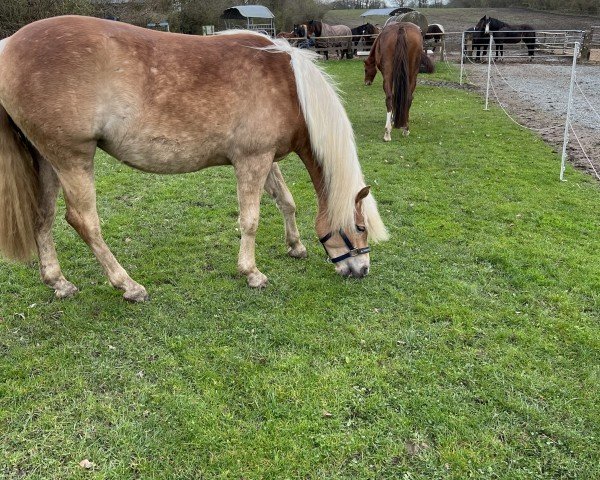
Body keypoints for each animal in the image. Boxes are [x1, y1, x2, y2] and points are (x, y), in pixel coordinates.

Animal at [0, 16, 390, 302]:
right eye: (359, 228)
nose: (362, 270)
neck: (289, 85)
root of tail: (9, 46)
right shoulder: (252, 160)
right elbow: (251, 220)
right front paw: (252, 273)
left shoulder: (266, 159)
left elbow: (287, 202)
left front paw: (295, 246)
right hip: (72, 158)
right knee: (84, 222)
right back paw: (128, 285)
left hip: (47, 159)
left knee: (43, 216)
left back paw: (59, 282)